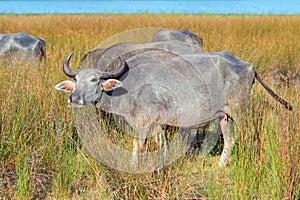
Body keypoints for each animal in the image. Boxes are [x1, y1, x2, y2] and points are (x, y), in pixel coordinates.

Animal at [55, 48, 292, 167]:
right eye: (76, 80)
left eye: (95, 80)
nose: (74, 98)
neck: (127, 86)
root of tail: (248, 66)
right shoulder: (158, 123)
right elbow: (163, 144)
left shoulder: (143, 122)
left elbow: (137, 146)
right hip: (225, 116)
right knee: (230, 140)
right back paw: (220, 165)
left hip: (241, 111)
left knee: (253, 136)